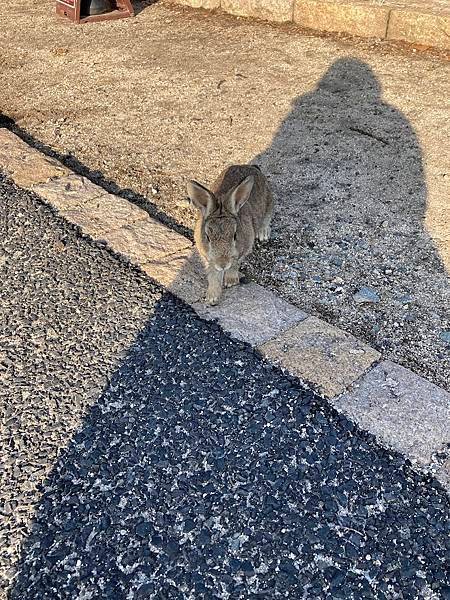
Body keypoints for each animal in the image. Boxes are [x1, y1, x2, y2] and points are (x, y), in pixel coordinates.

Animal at [186, 164, 274, 304]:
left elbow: (235, 264)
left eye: (235, 236)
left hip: (269, 202)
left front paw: (230, 281)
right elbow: (212, 273)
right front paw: (212, 296)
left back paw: (263, 233)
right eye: (207, 237)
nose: (223, 264)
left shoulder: (244, 249)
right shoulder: (207, 257)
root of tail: (252, 167)